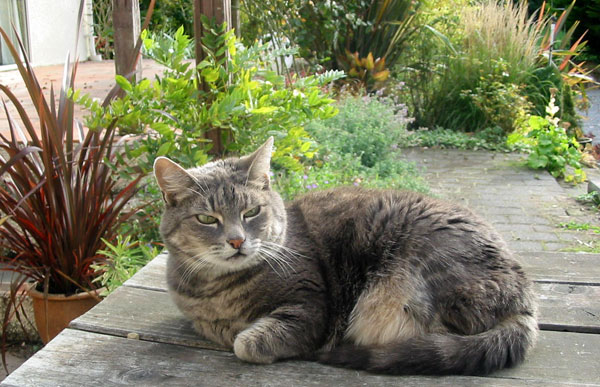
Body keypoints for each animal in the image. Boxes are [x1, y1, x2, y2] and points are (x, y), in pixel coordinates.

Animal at [152, 137, 536, 376]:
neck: (214, 289)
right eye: (206, 219)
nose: (236, 241)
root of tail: (525, 297)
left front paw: (243, 337)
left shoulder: (309, 305)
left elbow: (245, 343)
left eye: (251, 212)